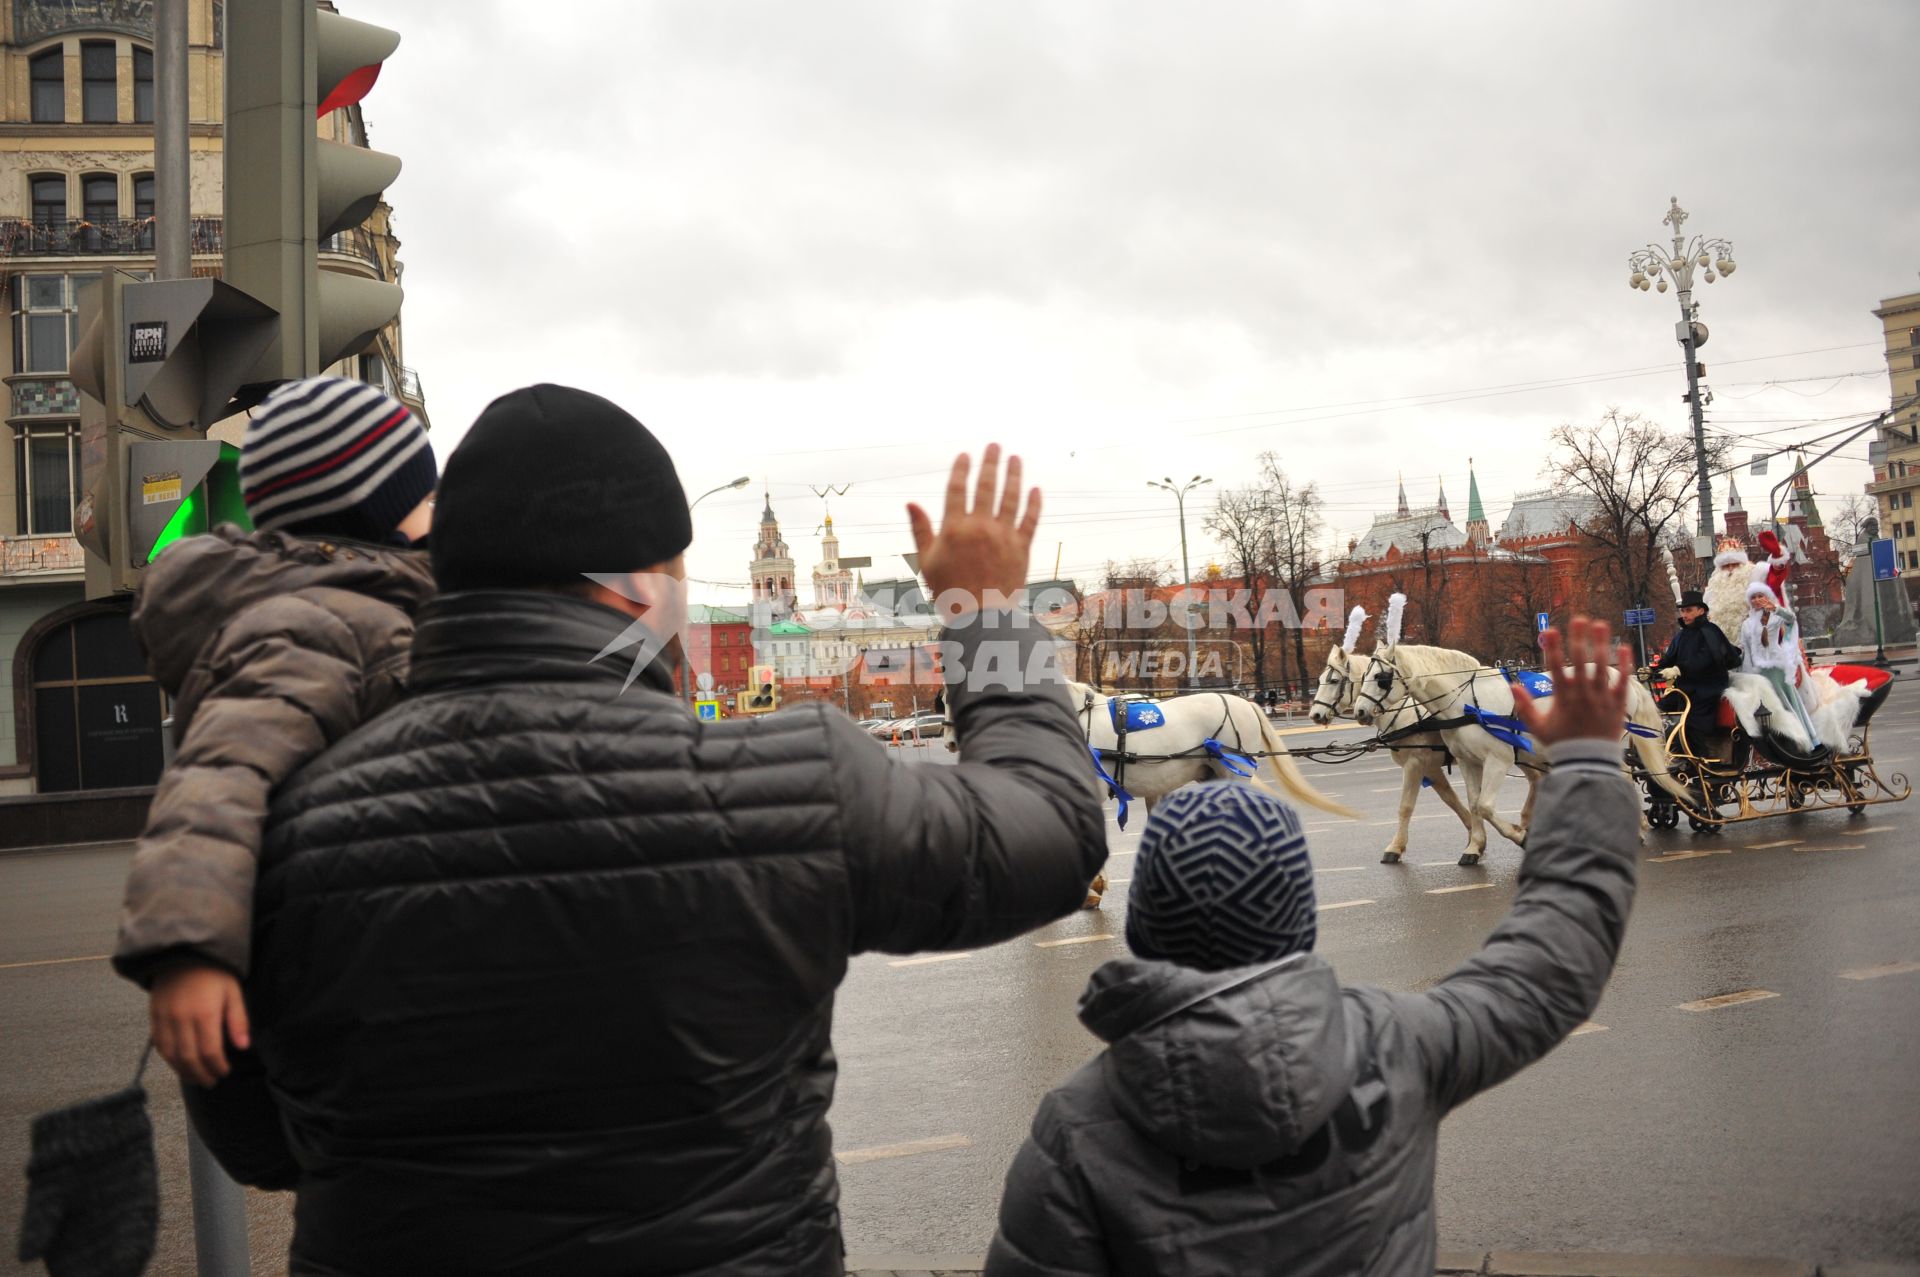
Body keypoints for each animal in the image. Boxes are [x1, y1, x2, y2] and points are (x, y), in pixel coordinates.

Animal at [1305, 641, 1482, 860]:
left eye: (1334, 681)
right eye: (1320, 680)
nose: (1315, 715)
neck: (1403, 715)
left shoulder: (1415, 764)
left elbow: (1405, 807)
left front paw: (1395, 846)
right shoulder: (1430, 768)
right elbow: (1451, 799)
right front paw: (1474, 834)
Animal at [1344, 641, 1689, 860]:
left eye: (1381, 678)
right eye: (1363, 677)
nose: (1360, 711)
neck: (1465, 701)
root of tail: (1624, 678)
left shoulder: (1497, 759)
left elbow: (1484, 806)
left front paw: (1520, 836)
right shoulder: (1469, 763)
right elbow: (1473, 804)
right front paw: (1474, 847)